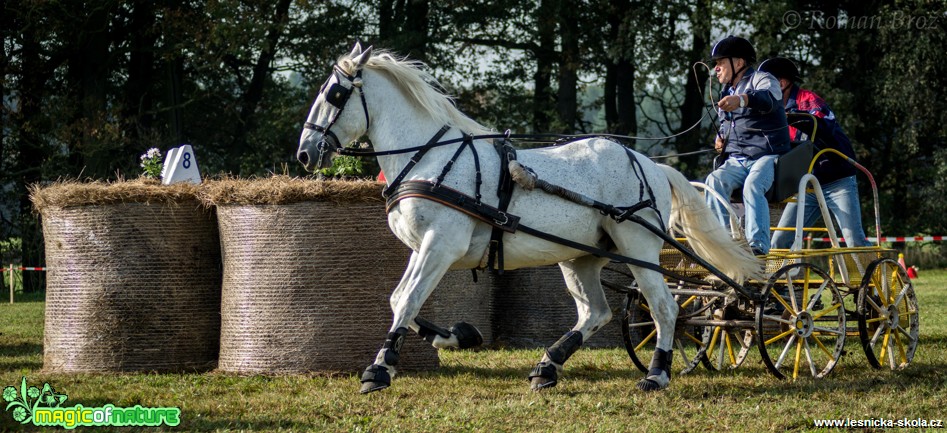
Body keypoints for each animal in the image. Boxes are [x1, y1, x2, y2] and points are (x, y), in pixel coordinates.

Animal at [296, 43, 764, 392]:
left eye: (333, 94)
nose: (304, 153)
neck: (428, 157)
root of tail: (650, 164)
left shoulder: (440, 245)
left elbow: (409, 299)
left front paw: (379, 368)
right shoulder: (423, 247)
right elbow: (398, 300)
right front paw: (459, 336)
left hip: (639, 246)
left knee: (664, 308)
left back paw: (656, 374)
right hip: (581, 256)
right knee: (596, 312)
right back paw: (548, 365)